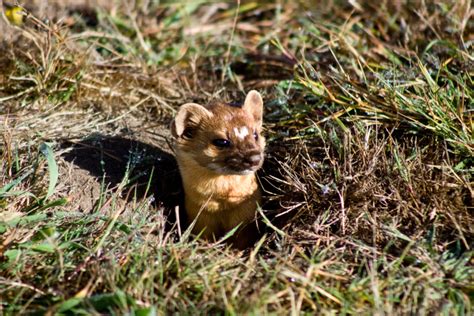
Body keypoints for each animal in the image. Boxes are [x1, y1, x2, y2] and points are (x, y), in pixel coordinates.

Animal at [171, 90, 266, 248]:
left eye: (255, 134)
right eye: (221, 141)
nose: (254, 158)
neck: (222, 206)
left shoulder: (247, 212)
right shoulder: (198, 215)